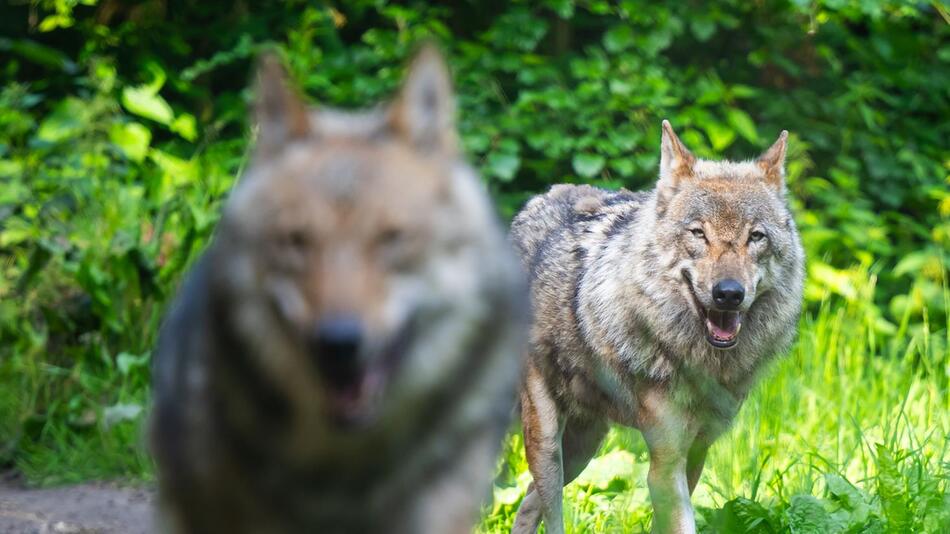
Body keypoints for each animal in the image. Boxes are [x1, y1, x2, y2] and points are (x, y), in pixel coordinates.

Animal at [510, 122, 808, 534]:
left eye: (756, 236)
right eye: (698, 233)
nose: (729, 294)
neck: (701, 364)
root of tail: (542, 197)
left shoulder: (696, 452)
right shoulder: (665, 463)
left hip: (583, 448)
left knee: (527, 502)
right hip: (548, 444)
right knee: (549, 511)